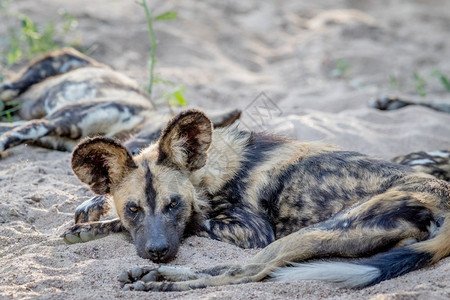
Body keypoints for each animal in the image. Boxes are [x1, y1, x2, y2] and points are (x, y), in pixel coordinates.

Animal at [68, 109, 450, 290]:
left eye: (174, 204)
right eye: (134, 209)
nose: (158, 251)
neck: (208, 174)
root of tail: (444, 197)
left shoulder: (251, 231)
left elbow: (196, 221)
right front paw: (89, 222)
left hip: (322, 230)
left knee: (246, 272)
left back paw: (159, 283)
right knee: (234, 268)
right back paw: (150, 274)